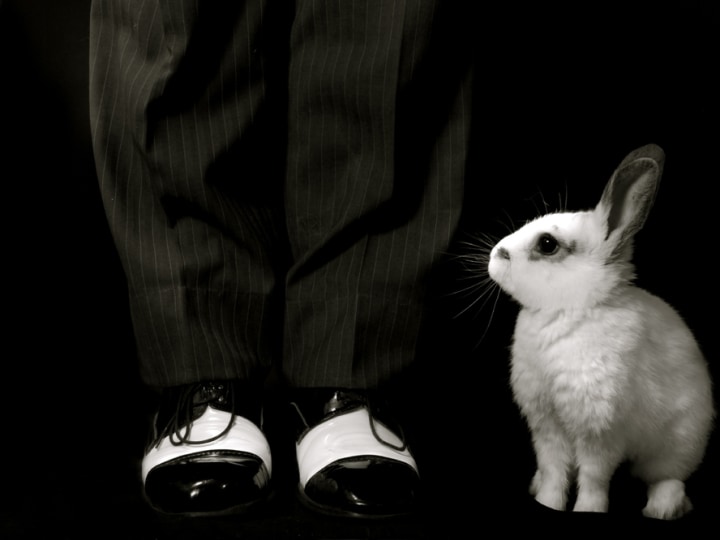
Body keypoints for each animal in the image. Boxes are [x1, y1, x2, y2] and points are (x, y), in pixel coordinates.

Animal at [487, 144, 714, 520]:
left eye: (547, 243)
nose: (494, 254)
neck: (570, 310)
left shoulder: (600, 430)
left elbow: (594, 477)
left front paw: (587, 511)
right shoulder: (546, 425)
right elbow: (554, 470)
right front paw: (546, 502)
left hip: (678, 444)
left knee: (666, 478)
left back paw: (662, 508)